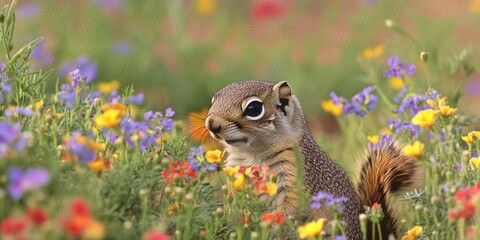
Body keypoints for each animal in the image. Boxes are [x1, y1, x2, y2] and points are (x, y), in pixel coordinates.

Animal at [204, 80, 422, 238]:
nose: (212, 123)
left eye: (254, 108)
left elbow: (291, 208)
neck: (252, 154)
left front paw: (267, 224)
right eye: (214, 100)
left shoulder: (299, 178)